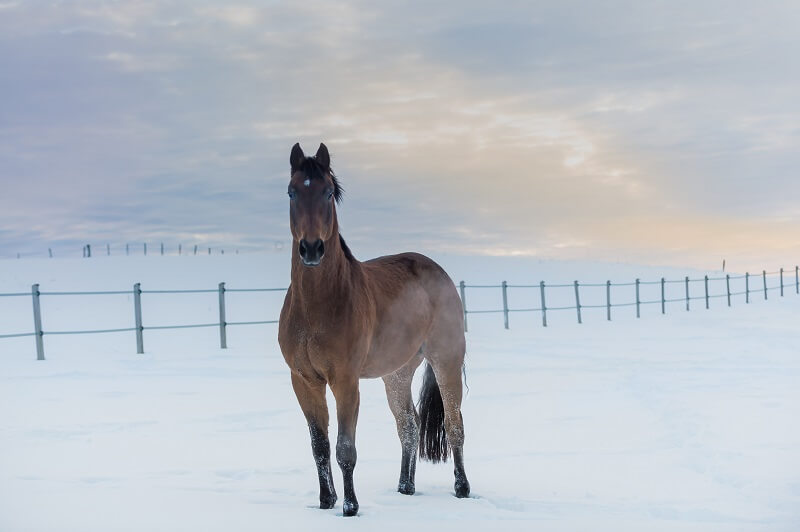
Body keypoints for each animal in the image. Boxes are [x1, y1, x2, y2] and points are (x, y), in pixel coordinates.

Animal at [280, 143, 472, 516]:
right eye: (292, 192)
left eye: (328, 192)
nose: (311, 249)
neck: (316, 306)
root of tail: (438, 272)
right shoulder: (304, 380)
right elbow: (319, 445)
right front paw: (326, 502)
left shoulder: (345, 381)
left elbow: (345, 448)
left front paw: (350, 507)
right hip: (396, 374)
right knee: (409, 425)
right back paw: (405, 487)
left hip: (446, 362)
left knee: (454, 425)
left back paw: (462, 488)